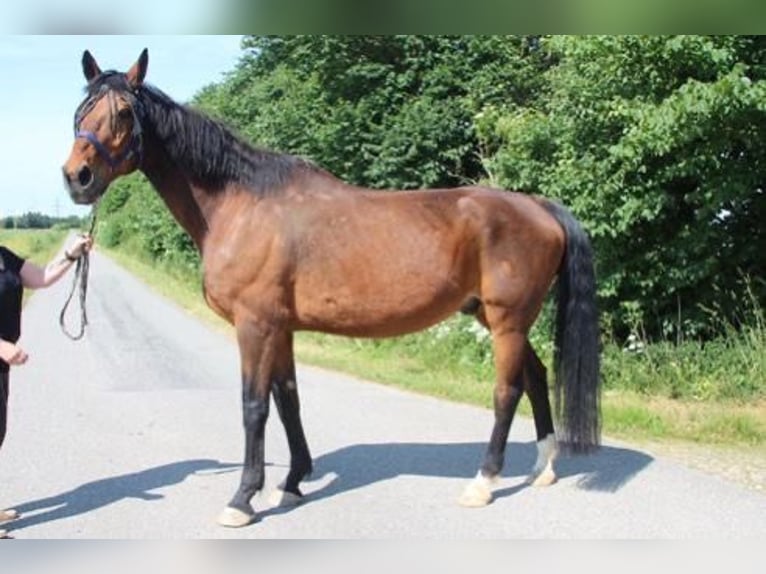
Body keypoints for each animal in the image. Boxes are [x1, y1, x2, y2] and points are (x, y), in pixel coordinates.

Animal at [60, 50, 604, 532]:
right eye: (80, 112)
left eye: (124, 113)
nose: (77, 178)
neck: (241, 204)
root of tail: (539, 206)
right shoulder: (280, 328)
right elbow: (288, 400)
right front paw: (292, 482)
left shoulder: (255, 326)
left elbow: (254, 407)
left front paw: (242, 499)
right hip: (496, 318)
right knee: (536, 376)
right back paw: (543, 467)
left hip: (507, 319)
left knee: (507, 391)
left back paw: (483, 482)